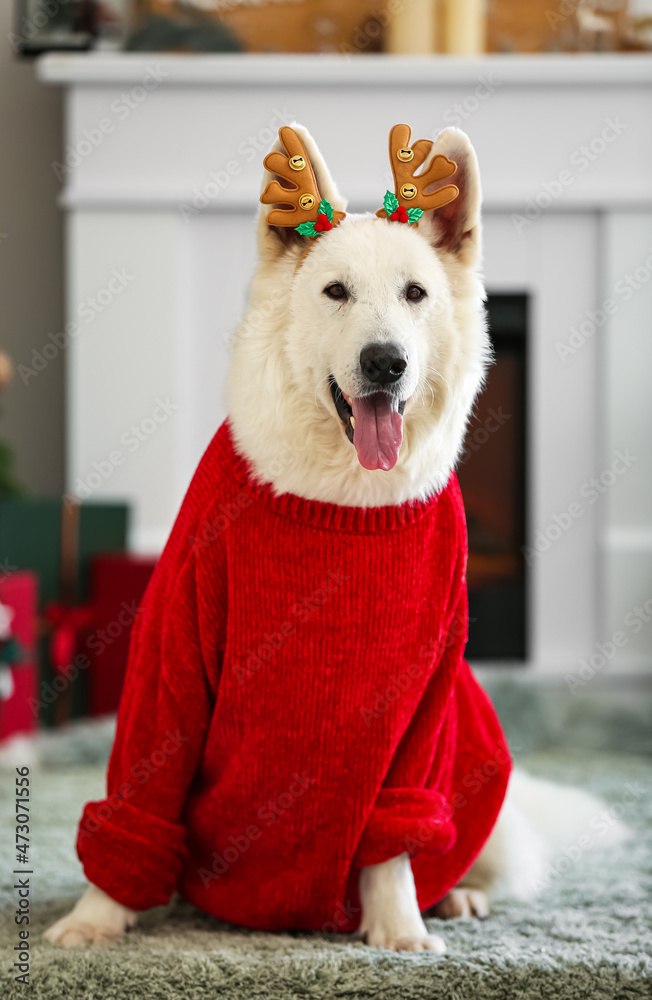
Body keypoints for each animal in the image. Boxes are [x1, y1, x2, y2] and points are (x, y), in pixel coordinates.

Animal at [44, 123, 628, 952]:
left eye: (415, 293)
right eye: (335, 292)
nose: (385, 363)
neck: (343, 498)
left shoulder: (425, 704)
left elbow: (392, 842)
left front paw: (398, 928)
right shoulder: (171, 658)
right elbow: (141, 795)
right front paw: (96, 917)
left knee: (473, 852)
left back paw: (458, 896)